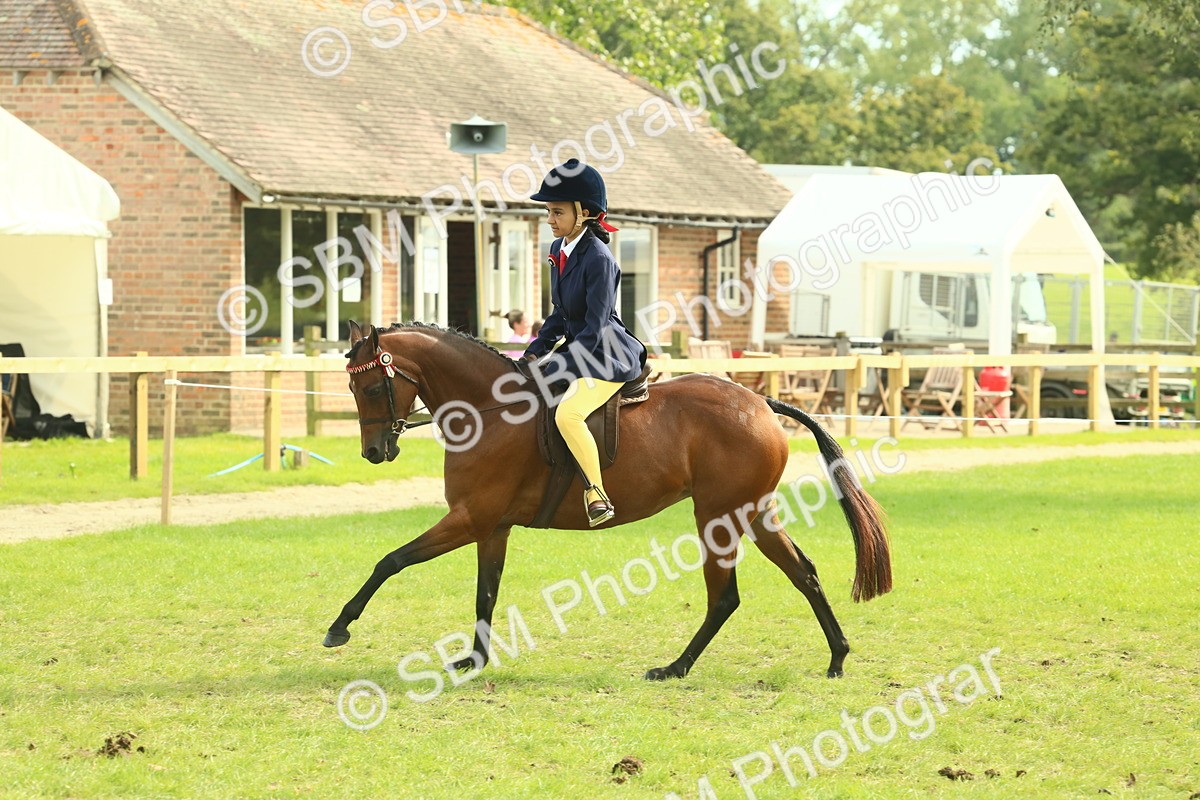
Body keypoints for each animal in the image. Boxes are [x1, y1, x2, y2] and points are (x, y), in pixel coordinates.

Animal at [324, 321, 891, 680]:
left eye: (370, 388)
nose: (374, 452)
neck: (490, 409)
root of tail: (759, 401)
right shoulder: (491, 527)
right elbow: (485, 594)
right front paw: (475, 661)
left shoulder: (467, 519)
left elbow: (390, 561)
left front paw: (338, 627)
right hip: (753, 513)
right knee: (803, 573)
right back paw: (837, 657)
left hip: (718, 517)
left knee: (725, 597)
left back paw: (675, 668)